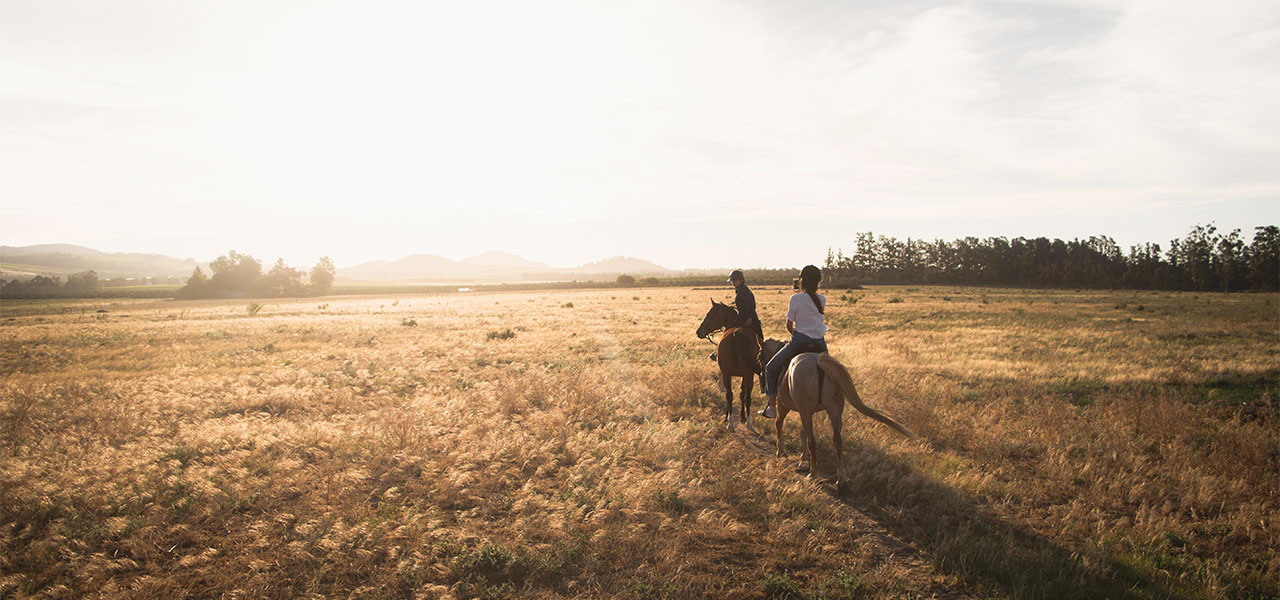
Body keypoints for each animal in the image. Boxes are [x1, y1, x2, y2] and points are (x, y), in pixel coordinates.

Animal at [701, 299, 757, 429]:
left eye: (709, 314)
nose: (699, 331)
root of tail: (736, 334)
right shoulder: (745, 375)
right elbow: (742, 393)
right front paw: (741, 417)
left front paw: (730, 417)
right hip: (747, 374)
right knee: (746, 396)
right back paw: (747, 423)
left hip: (728, 373)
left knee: (730, 395)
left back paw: (731, 422)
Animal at [757, 340, 911, 488]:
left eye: (759, 357)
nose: (761, 380)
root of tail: (818, 361)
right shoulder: (806, 411)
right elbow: (802, 431)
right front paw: (803, 460)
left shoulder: (788, 406)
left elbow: (780, 424)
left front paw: (782, 452)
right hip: (834, 411)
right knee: (837, 440)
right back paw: (842, 479)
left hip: (805, 410)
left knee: (812, 440)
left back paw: (813, 473)